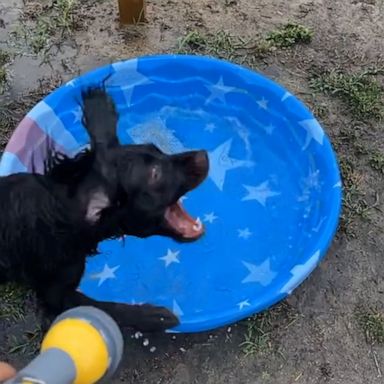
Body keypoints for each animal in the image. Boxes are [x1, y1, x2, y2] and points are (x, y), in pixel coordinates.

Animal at [0, 88, 207, 332]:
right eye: (155, 174)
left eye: (157, 149)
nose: (204, 154)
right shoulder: (56, 293)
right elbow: (105, 308)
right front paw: (154, 316)